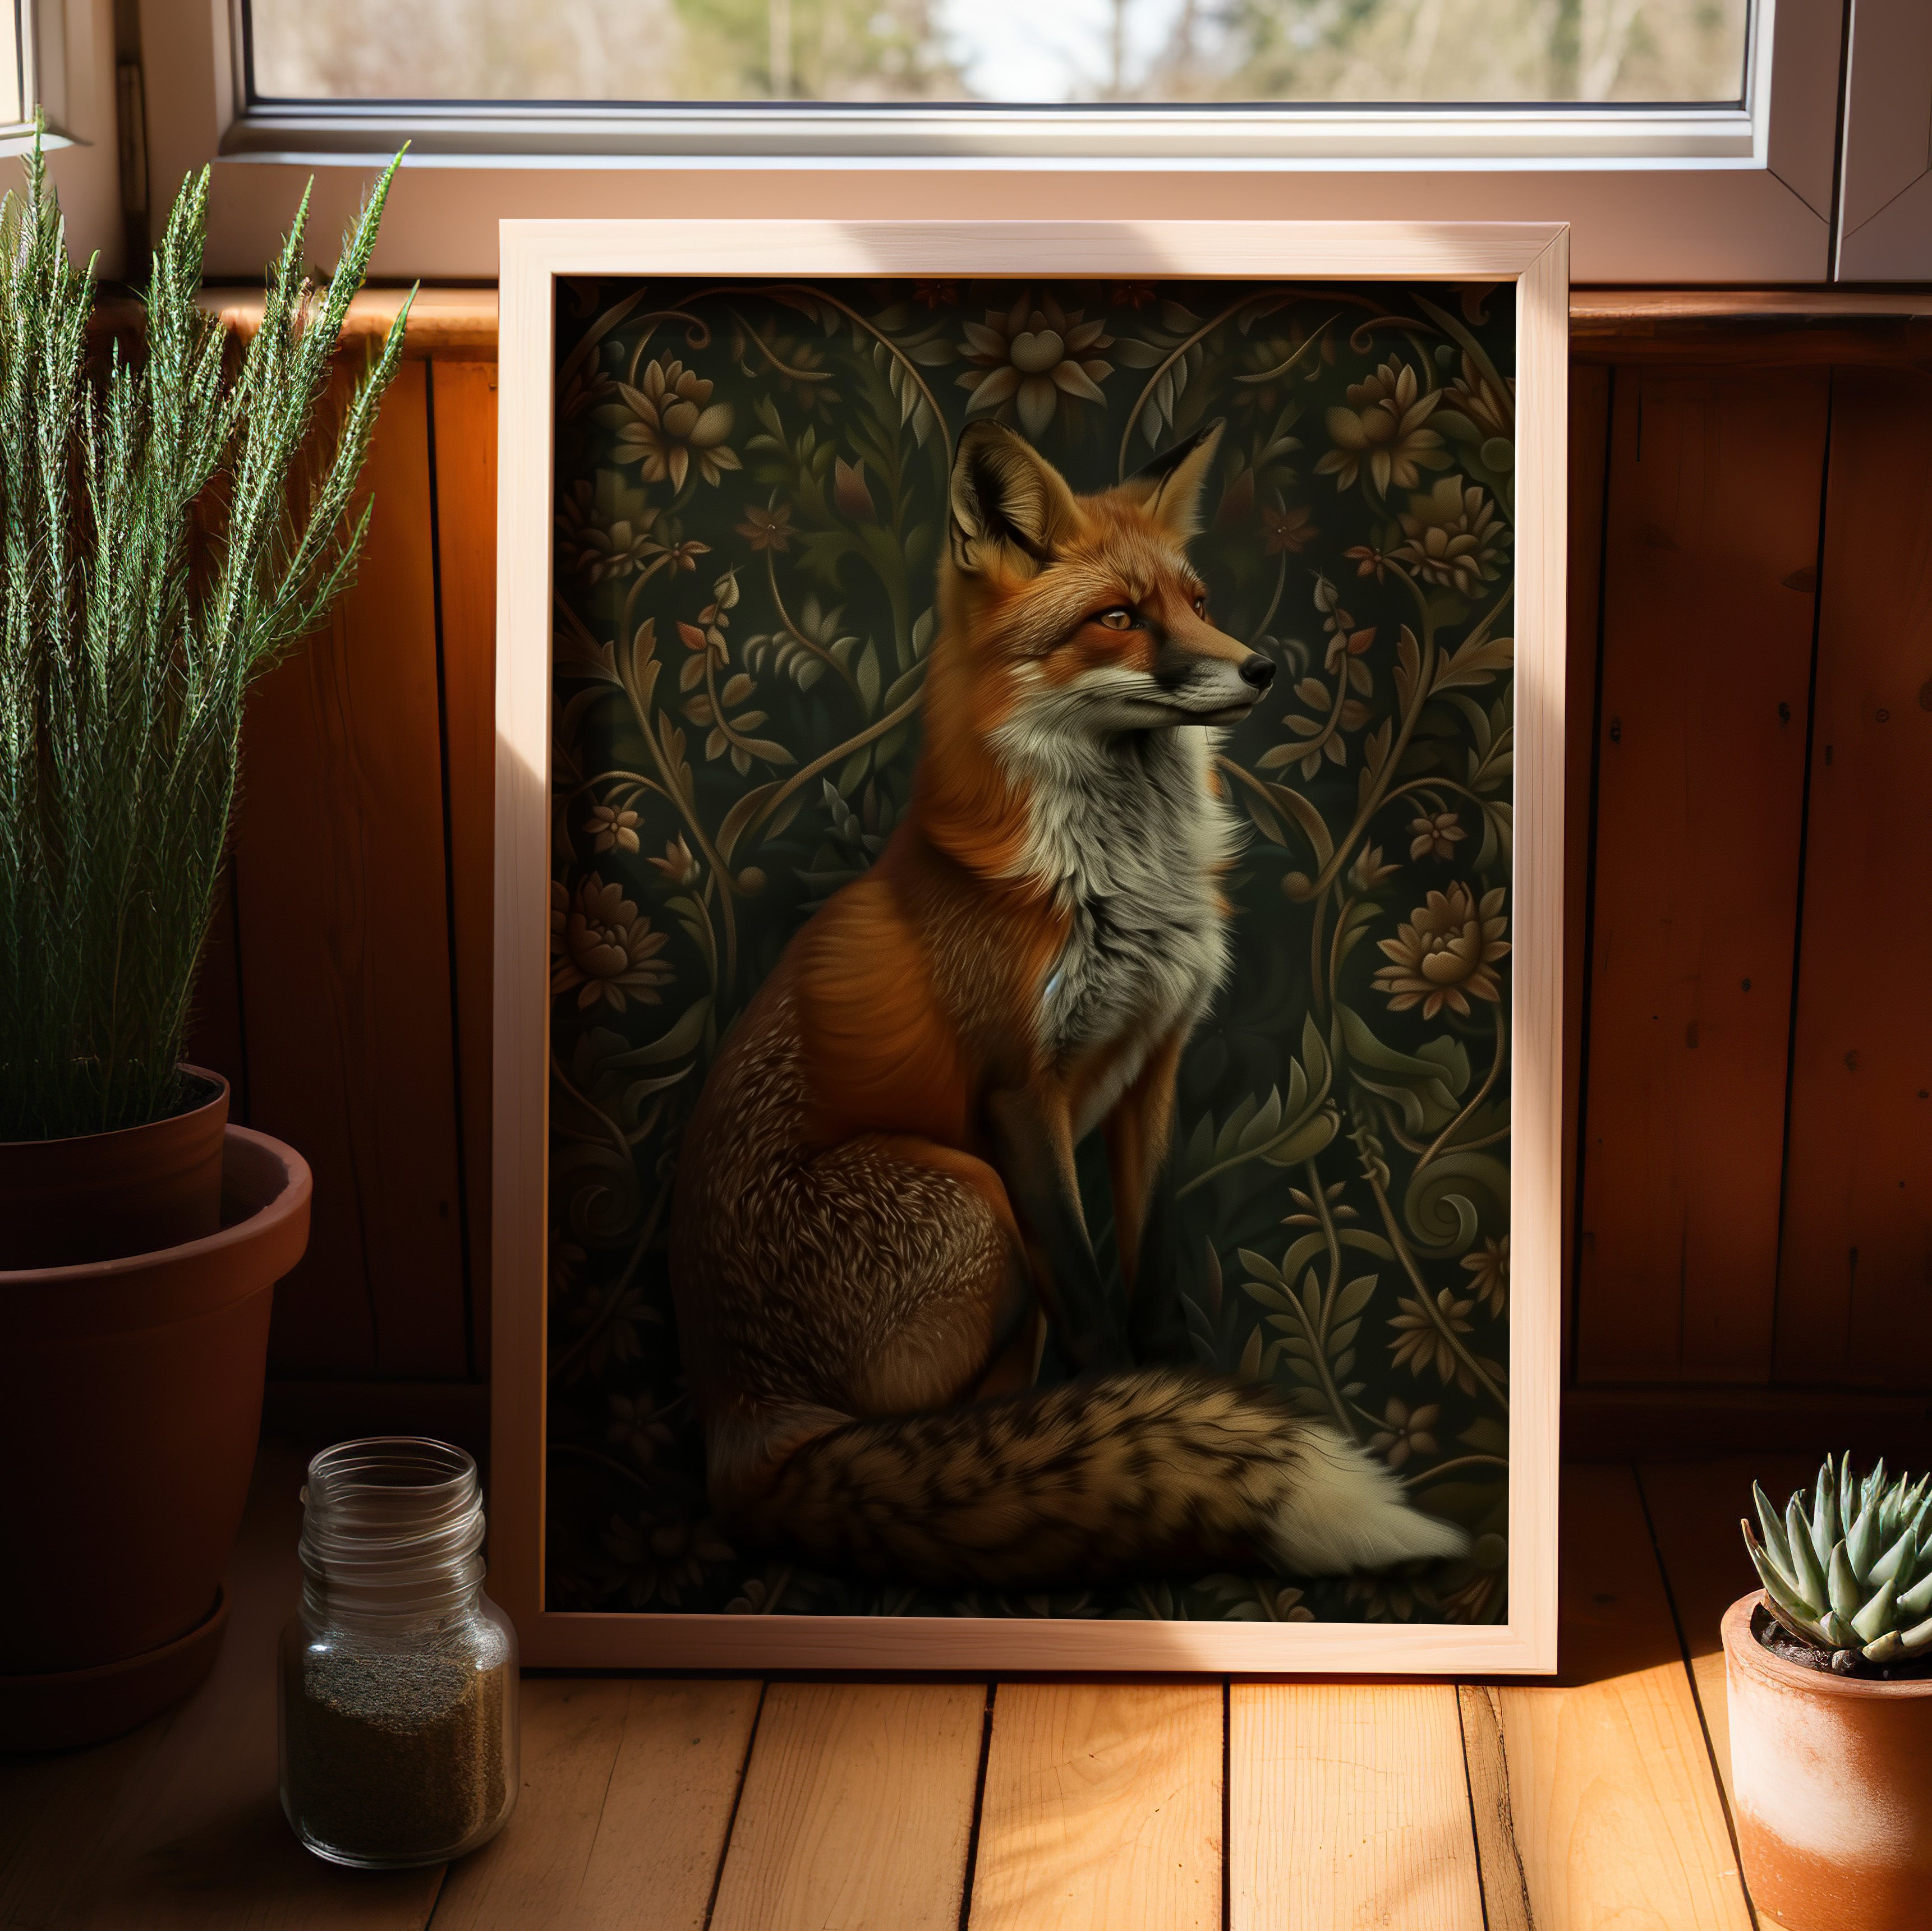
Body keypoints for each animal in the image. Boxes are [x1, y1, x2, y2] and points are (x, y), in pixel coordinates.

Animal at [667, 416, 1469, 1589]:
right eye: (1117, 618)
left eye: (1195, 597)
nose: (1261, 665)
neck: (1118, 884)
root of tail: (737, 1420)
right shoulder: (1017, 1094)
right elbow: (1093, 1310)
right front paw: (1138, 1409)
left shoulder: (1155, 1065)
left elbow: (1150, 1267)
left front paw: (1175, 1388)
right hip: (970, 1196)